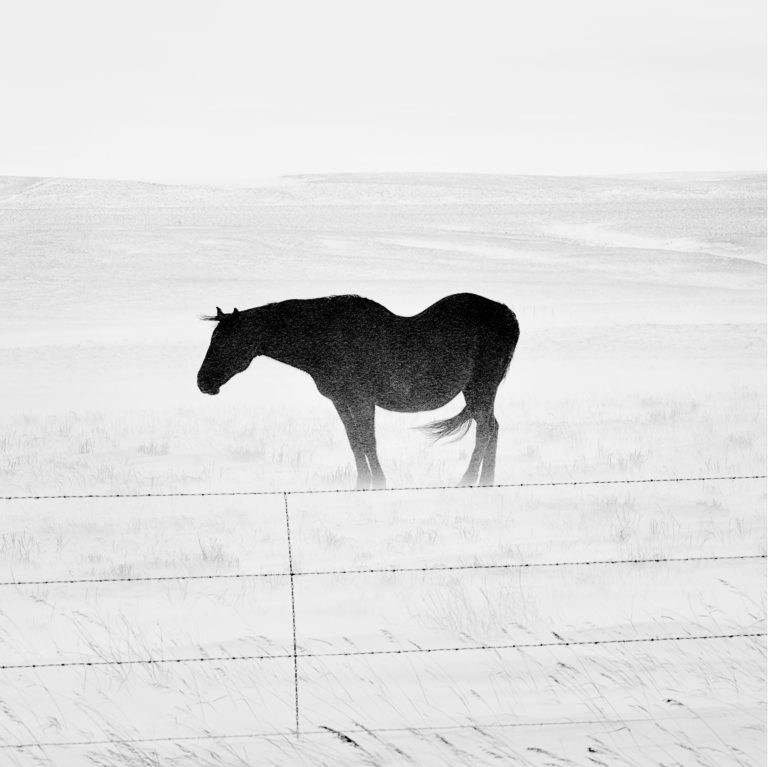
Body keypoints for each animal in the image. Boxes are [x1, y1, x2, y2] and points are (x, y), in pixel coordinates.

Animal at [197, 293, 519, 489]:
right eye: (213, 338)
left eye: (228, 341)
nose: (203, 382)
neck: (322, 342)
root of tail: (510, 316)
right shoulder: (340, 400)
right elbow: (355, 441)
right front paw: (361, 484)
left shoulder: (362, 399)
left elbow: (368, 441)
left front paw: (379, 483)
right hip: (476, 391)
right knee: (492, 426)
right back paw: (486, 480)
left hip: (481, 386)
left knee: (486, 429)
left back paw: (467, 480)